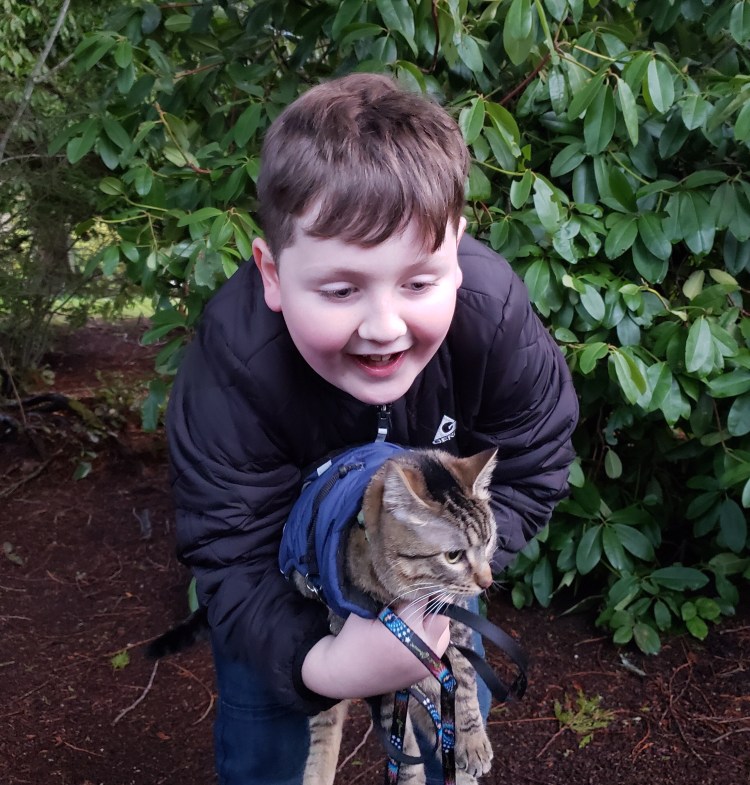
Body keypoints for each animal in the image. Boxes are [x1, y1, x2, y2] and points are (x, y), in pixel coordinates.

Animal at [297, 446, 498, 785]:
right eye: (453, 556)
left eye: (489, 541)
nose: (487, 581)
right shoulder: (384, 667)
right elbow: (399, 739)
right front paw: (411, 775)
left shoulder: (453, 620)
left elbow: (464, 679)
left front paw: (471, 741)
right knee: (325, 722)